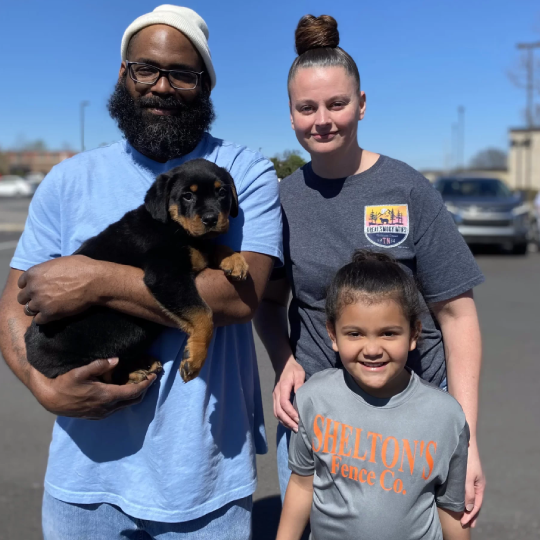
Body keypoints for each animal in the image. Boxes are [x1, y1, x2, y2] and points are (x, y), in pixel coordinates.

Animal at [23, 159, 247, 384]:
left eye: (222, 192)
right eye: (187, 195)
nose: (211, 219)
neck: (175, 227)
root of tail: (32, 357)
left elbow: (214, 247)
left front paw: (235, 260)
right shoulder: (165, 275)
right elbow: (203, 313)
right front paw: (195, 359)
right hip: (122, 330)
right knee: (106, 373)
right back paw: (135, 373)